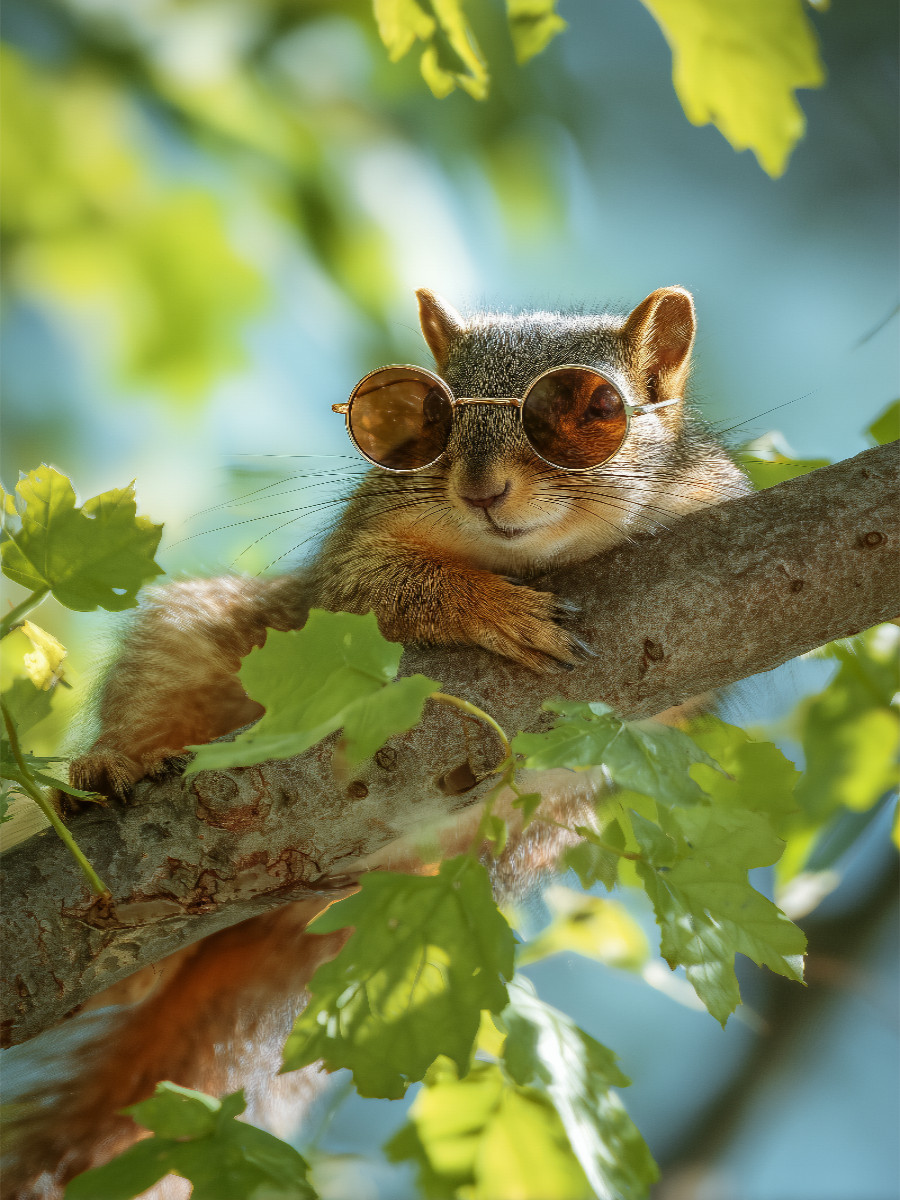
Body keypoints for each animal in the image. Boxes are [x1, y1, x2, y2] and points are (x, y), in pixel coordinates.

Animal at [5, 287, 750, 1198]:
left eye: (593, 412)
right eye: (418, 422)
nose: (482, 490)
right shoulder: (352, 562)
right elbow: (380, 588)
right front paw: (491, 608)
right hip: (191, 644)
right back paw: (115, 770)